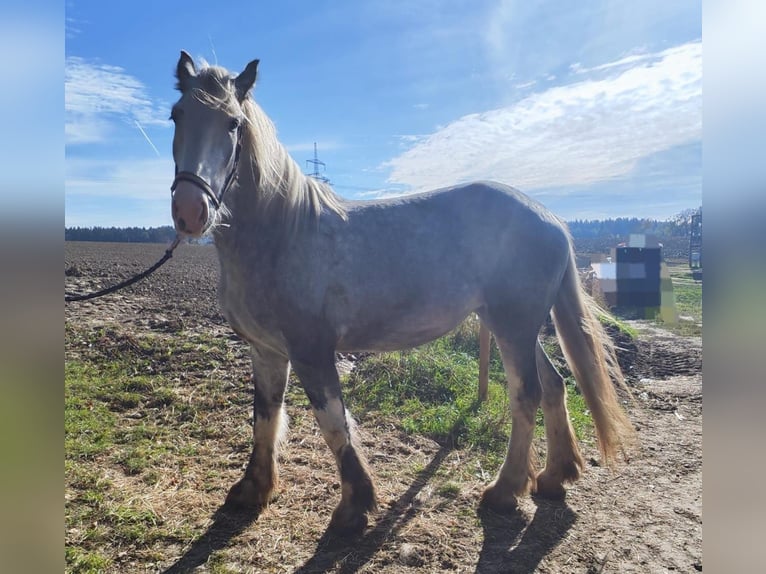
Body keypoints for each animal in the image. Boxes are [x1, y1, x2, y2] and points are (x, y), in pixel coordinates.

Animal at [169, 51, 635, 534]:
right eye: (177, 115)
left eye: (233, 123)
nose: (190, 211)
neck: (281, 232)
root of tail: (551, 218)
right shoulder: (265, 350)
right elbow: (264, 418)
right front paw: (252, 490)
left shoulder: (311, 348)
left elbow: (333, 423)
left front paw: (354, 506)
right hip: (516, 326)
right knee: (554, 385)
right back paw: (554, 477)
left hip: (513, 326)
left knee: (526, 394)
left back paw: (504, 492)